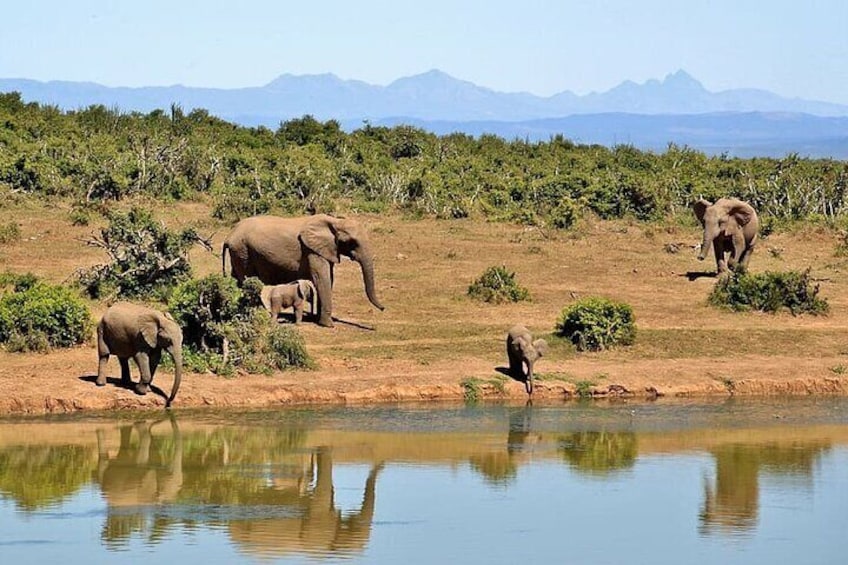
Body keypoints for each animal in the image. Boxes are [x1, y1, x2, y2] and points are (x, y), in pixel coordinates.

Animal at [222, 214, 385, 327]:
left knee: (238, 280)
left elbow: (329, 279)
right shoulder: (312, 250)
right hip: (243, 251)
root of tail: (229, 235)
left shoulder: (326, 250)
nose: (383, 308)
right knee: (248, 281)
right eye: (351, 242)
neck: (334, 221)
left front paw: (319, 320)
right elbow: (322, 279)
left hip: (239, 253)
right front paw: (328, 325)